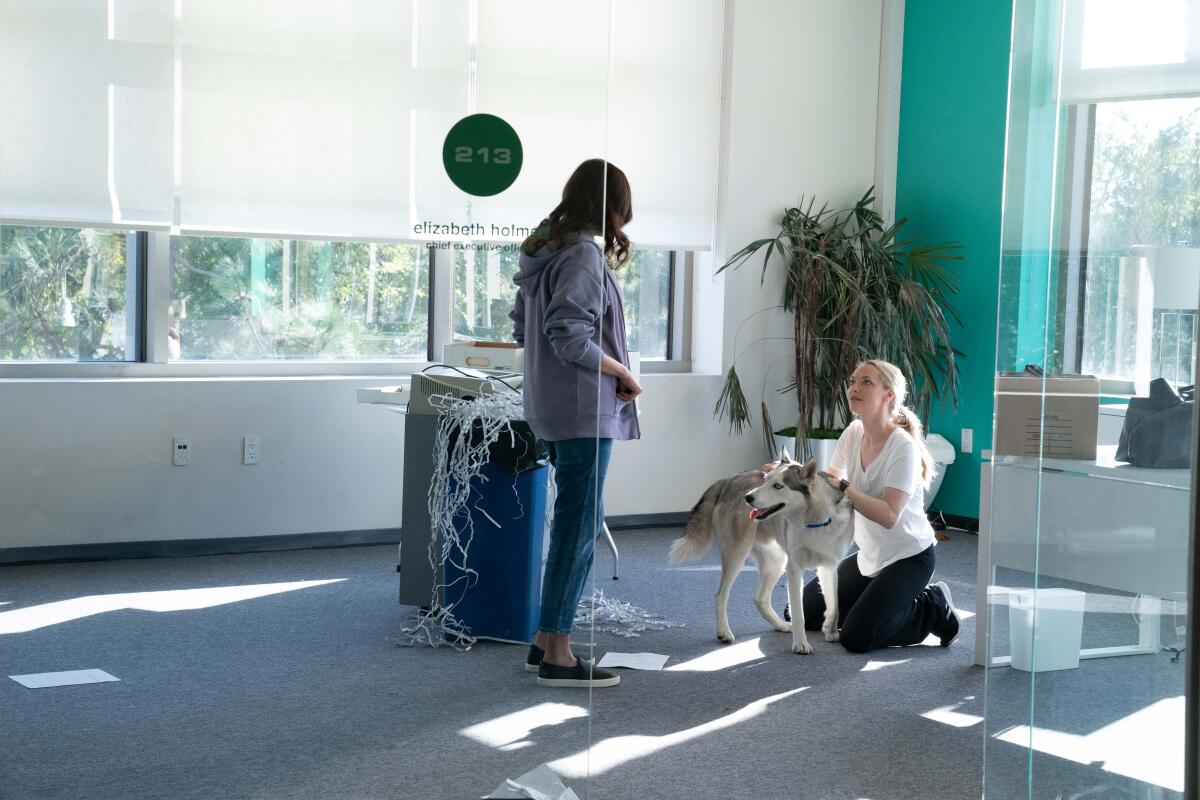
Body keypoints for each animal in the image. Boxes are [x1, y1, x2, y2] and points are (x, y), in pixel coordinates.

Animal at [667, 453, 854, 652]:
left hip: (776, 561)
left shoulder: (829, 567)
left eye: (778, 486)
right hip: (737, 553)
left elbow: (834, 606)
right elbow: (798, 613)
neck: (815, 522)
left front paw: (830, 631)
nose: (747, 497)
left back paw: (779, 624)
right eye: (766, 480)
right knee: (721, 595)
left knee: (760, 598)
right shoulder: (794, 569)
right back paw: (724, 632)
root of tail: (729, 479)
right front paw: (800, 643)